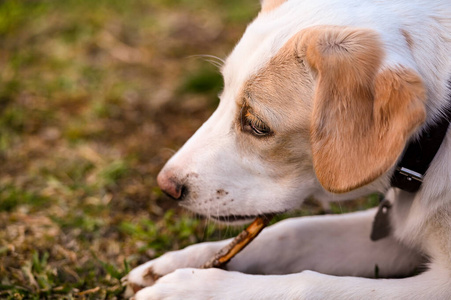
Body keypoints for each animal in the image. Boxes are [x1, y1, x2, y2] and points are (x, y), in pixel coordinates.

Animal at [124, 1, 451, 298]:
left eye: (257, 125)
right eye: (222, 94)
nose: (166, 186)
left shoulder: (438, 285)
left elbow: (310, 285)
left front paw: (189, 288)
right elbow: (294, 232)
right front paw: (176, 262)